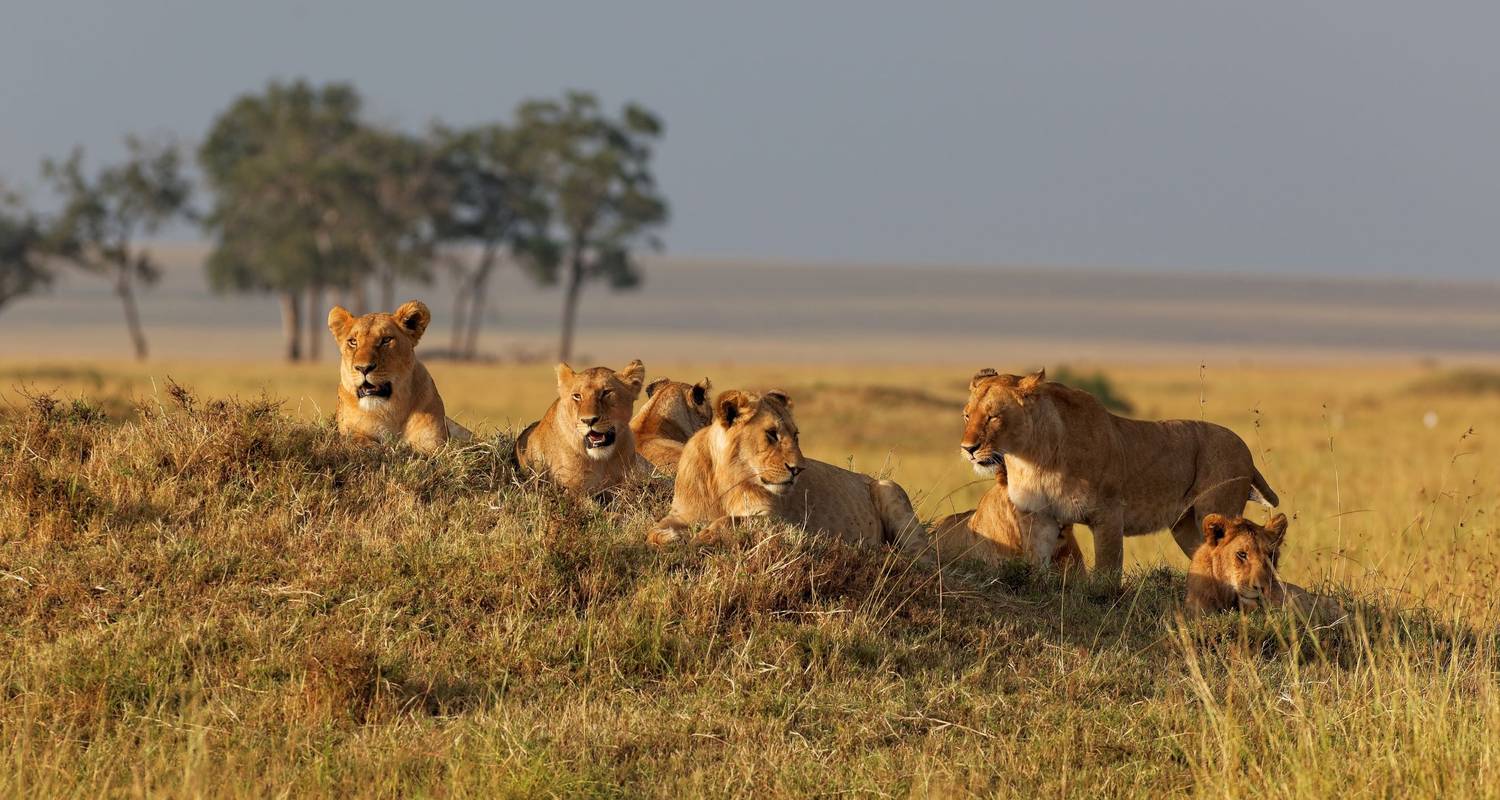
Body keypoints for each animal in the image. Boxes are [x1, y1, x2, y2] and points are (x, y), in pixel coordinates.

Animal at [328, 300, 468, 453]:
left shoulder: (434, 441)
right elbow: (360, 440)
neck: (389, 411)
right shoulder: (350, 431)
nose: (363, 368)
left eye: (386, 340)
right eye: (353, 342)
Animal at [651, 387, 930, 555]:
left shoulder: (782, 522)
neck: (724, 480)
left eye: (795, 435)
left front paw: (703, 536)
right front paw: (671, 537)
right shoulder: (682, 512)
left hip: (889, 488)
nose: (798, 469)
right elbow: (653, 530)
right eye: (771, 434)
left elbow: (731, 520)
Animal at [960, 369, 1278, 585]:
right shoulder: (1040, 517)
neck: (1033, 458)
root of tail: (1245, 449)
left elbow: (1107, 572)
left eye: (993, 416)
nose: (968, 449)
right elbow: (1037, 562)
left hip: (1214, 511)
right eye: (967, 415)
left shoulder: (1109, 513)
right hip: (1186, 527)